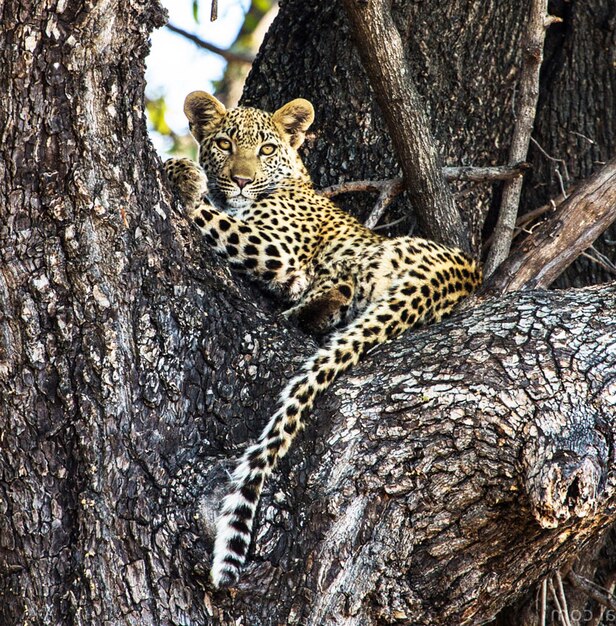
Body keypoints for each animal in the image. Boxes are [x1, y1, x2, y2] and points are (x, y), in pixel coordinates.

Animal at [162, 90, 482, 588]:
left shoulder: (274, 248)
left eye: (266, 150)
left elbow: (214, 215)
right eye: (224, 143)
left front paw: (180, 172)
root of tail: (458, 274)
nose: (240, 181)